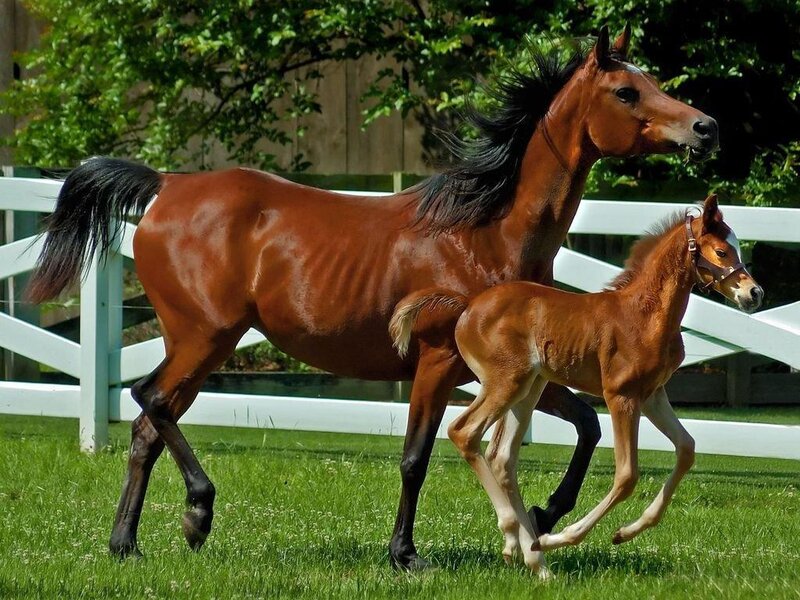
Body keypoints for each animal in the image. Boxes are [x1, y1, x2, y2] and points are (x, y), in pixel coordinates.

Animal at [26, 25, 719, 569]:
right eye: (626, 92)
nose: (705, 127)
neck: (484, 231)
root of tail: (165, 185)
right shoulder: (441, 363)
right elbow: (416, 457)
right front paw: (406, 555)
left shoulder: (513, 371)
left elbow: (586, 423)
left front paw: (545, 518)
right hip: (205, 337)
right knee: (151, 400)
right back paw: (198, 513)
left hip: (195, 344)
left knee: (149, 423)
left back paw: (126, 545)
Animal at [390, 194, 763, 577]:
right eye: (721, 252)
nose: (754, 293)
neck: (644, 314)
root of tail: (467, 306)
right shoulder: (621, 396)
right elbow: (627, 475)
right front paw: (561, 537)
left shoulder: (653, 395)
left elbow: (687, 449)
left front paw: (625, 532)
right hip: (505, 382)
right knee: (464, 432)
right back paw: (519, 538)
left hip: (529, 388)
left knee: (502, 457)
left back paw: (534, 559)